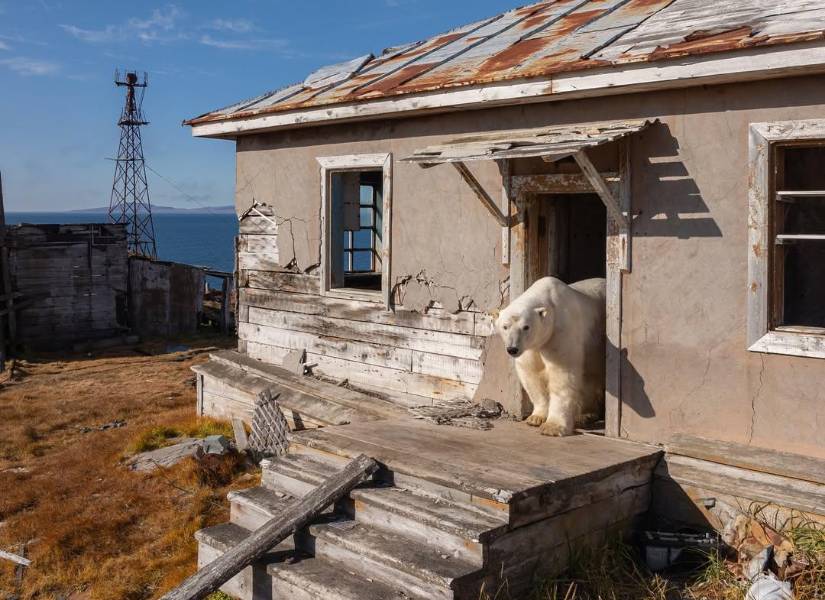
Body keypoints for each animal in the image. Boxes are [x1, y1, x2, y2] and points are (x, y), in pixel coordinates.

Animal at [495, 276, 606, 437]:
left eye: (526, 327)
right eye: (505, 326)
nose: (512, 349)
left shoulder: (560, 332)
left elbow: (562, 375)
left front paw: (553, 427)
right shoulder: (531, 347)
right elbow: (531, 374)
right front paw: (535, 418)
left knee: (591, 374)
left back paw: (585, 414)